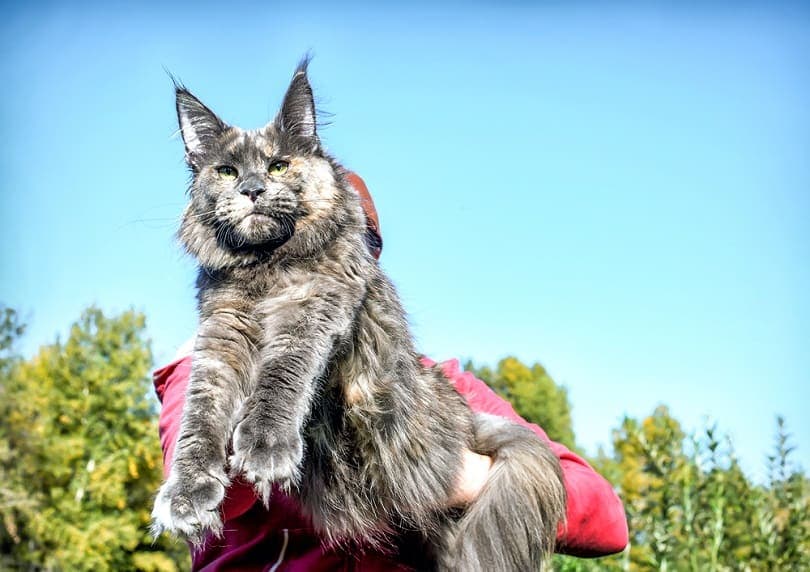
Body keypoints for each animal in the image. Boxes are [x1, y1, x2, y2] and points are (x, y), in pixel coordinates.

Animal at [153, 57, 568, 568]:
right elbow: (200, 418)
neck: (266, 269)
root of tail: (465, 419)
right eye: (227, 172)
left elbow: (279, 379)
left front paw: (266, 446)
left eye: (278, 165)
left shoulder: (313, 308)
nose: (252, 189)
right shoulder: (221, 336)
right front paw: (186, 495)